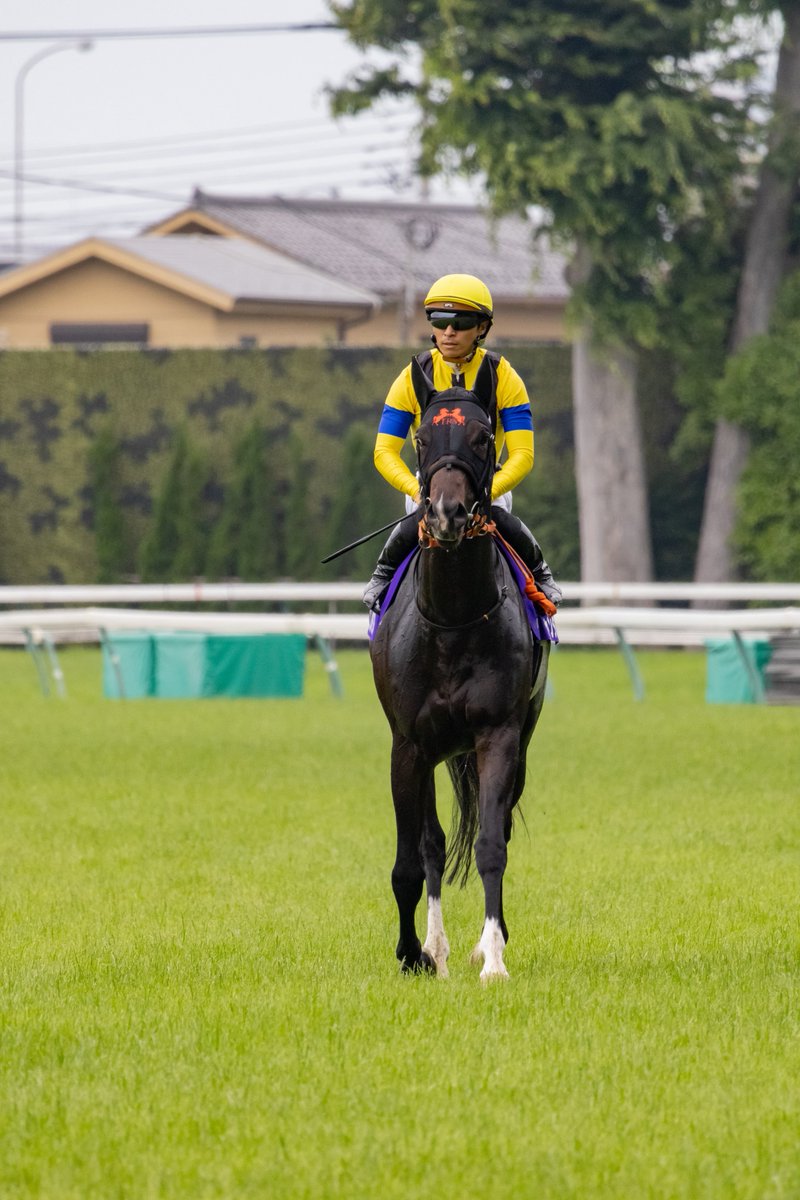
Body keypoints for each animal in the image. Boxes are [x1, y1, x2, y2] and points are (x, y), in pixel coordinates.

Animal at [369, 355, 552, 981]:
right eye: (422, 439)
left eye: (481, 438)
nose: (446, 514)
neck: (450, 621)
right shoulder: (408, 745)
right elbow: (410, 859)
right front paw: (413, 954)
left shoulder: (498, 735)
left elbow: (492, 845)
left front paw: (492, 957)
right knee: (429, 846)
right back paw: (435, 948)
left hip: (517, 740)